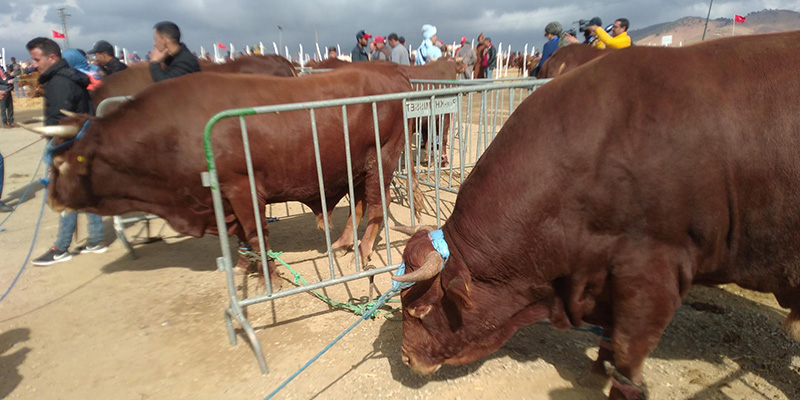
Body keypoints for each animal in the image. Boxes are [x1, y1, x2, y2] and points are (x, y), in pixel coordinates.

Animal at [28, 63, 416, 284]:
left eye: (60, 164)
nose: (51, 201)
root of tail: (393, 73)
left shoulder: (243, 188)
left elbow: (257, 236)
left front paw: (269, 279)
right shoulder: (223, 200)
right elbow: (243, 238)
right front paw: (247, 267)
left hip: (382, 158)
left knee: (377, 205)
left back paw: (363, 249)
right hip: (353, 167)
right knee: (362, 206)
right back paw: (343, 243)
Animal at [390, 29, 800, 398]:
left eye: (421, 309)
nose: (407, 359)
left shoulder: (652, 280)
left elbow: (627, 357)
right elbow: (610, 341)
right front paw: (596, 370)